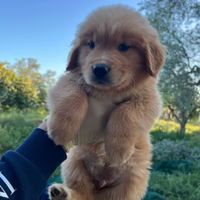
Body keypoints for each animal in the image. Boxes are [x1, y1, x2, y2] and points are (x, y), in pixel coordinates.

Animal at [47, 4, 166, 200]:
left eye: (124, 46)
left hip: (131, 181)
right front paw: (60, 129)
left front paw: (118, 149)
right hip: (74, 163)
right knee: (82, 192)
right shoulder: (67, 80)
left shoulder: (149, 100)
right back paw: (62, 193)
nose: (99, 69)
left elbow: (126, 112)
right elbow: (72, 95)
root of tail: (100, 184)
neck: (107, 93)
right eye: (91, 44)